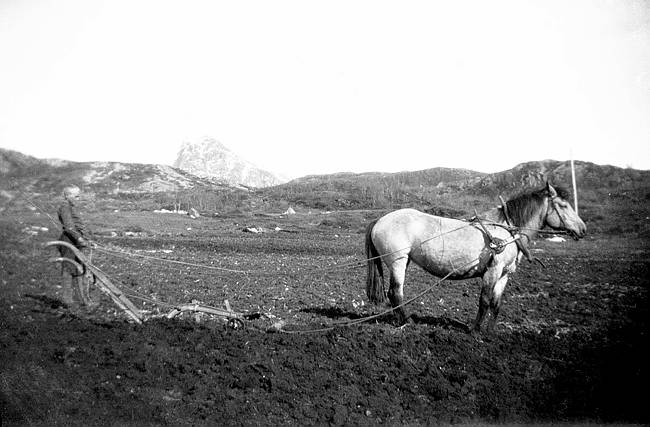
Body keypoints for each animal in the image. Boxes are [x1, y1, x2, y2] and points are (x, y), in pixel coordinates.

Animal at [364, 182, 588, 332]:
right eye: (563, 205)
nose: (583, 229)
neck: (506, 231)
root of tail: (380, 219)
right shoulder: (492, 270)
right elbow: (485, 300)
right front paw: (476, 330)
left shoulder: (504, 275)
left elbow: (496, 303)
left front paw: (489, 332)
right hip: (397, 262)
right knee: (395, 292)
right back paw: (405, 321)